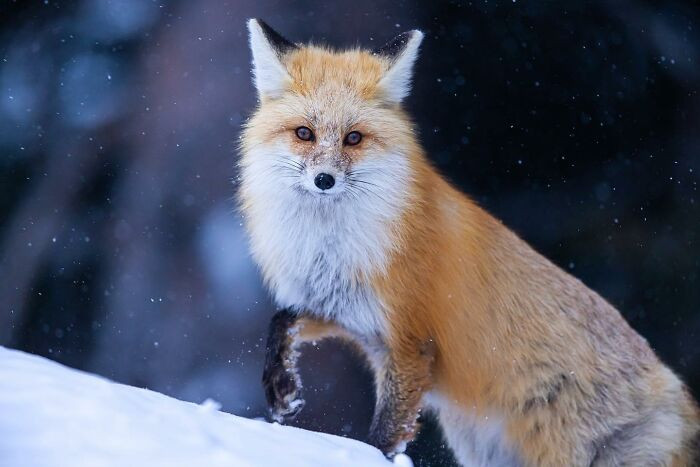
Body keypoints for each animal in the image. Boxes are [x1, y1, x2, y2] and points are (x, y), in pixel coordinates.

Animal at [238, 19, 699, 466]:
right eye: (304, 133)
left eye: (354, 138)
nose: (324, 180)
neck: (329, 249)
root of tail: (677, 391)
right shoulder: (344, 313)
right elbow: (282, 320)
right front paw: (280, 387)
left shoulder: (410, 344)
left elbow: (384, 436)